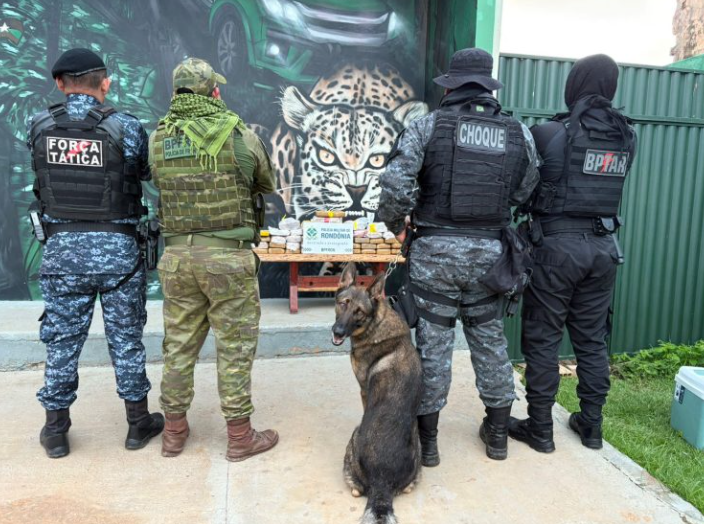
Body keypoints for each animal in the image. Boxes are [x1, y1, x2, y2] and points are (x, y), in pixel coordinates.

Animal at [332, 264, 424, 524]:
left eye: (359, 312)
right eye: (343, 303)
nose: (337, 331)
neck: (375, 323)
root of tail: (382, 480)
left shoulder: (364, 389)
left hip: (353, 439)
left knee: (356, 489)